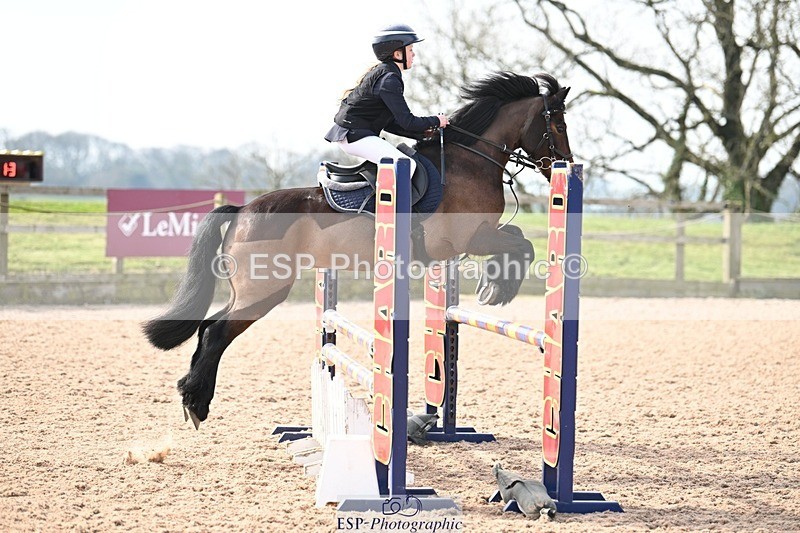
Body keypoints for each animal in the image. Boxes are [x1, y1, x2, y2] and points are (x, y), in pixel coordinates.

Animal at [143, 72, 573, 428]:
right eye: (558, 124)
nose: (564, 164)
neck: (469, 162)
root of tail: (242, 210)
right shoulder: (471, 238)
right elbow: (521, 243)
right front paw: (496, 289)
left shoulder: (474, 239)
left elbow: (517, 237)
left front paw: (493, 286)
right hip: (264, 290)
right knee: (216, 331)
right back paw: (197, 403)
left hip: (249, 290)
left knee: (207, 328)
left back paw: (190, 395)